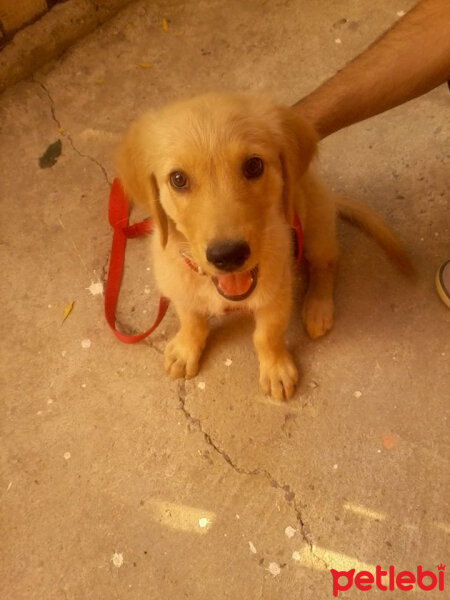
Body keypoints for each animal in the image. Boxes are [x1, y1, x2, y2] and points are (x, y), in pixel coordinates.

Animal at [117, 94, 412, 400]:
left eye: (253, 166)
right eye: (178, 179)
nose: (228, 255)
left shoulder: (276, 293)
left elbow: (266, 336)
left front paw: (276, 370)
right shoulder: (179, 289)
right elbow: (192, 320)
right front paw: (186, 349)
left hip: (317, 229)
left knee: (326, 265)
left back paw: (317, 308)